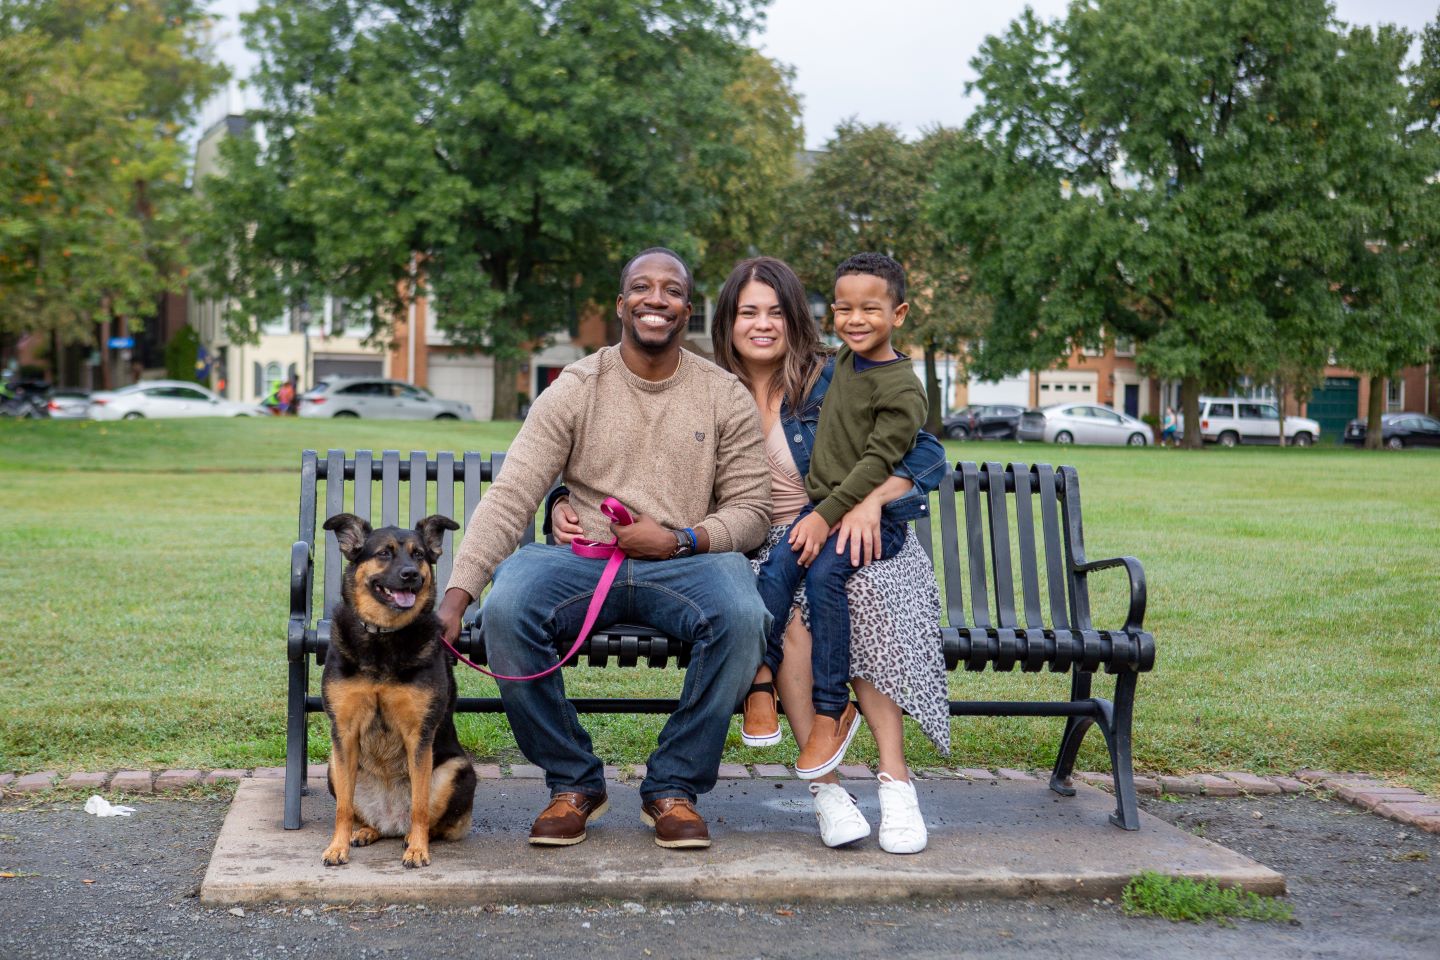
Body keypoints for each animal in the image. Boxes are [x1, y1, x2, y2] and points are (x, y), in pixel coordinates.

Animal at [319, 515, 472, 869]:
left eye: (419, 555)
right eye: (384, 554)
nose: (411, 575)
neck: (384, 635)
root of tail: (391, 821)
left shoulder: (419, 736)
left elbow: (420, 805)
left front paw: (417, 850)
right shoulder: (344, 733)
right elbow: (342, 808)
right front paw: (337, 847)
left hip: (457, 770)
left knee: (433, 821)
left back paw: (411, 838)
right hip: (334, 764)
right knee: (360, 813)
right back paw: (364, 832)